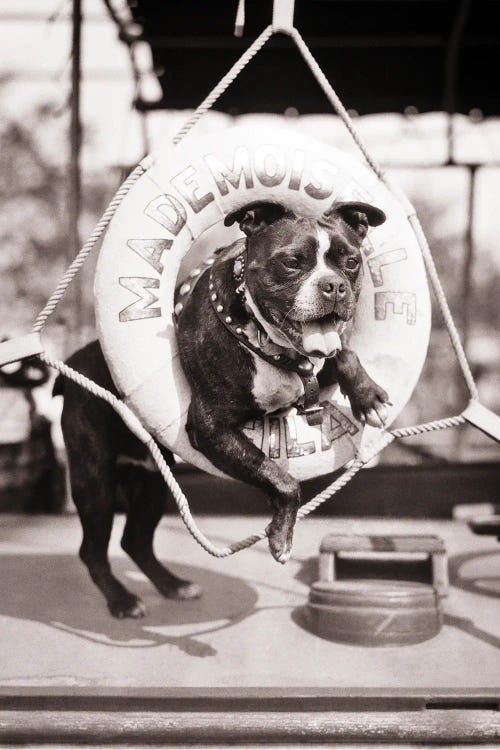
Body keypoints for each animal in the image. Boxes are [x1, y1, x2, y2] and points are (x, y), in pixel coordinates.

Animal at [55, 197, 390, 620]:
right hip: (94, 479)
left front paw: (369, 396)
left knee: (135, 540)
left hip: (151, 484)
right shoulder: (212, 429)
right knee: (93, 550)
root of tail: (74, 363)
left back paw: (174, 586)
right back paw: (122, 600)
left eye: (351, 262)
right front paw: (281, 537)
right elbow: (282, 478)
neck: (270, 341)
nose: (334, 285)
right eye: (292, 262)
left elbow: (345, 354)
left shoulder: (316, 366)